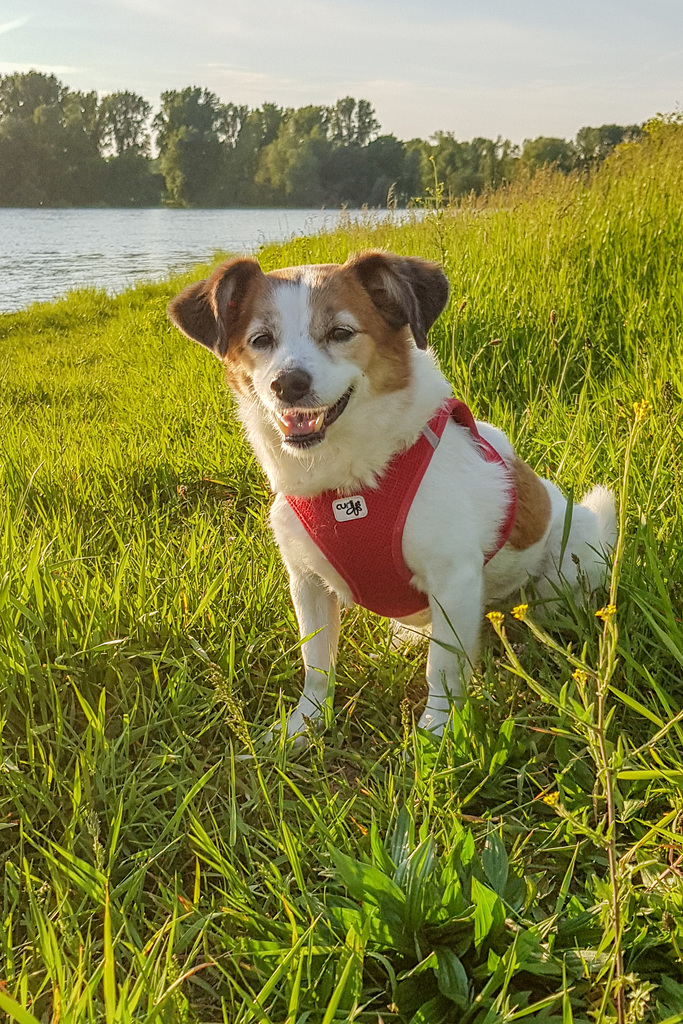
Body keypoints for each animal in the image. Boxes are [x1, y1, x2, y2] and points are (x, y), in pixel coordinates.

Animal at [166, 251, 618, 741]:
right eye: (261, 339)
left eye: (341, 332)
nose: (288, 384)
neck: (348, 484)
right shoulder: (306, 582)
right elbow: (316, 664)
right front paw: (303, 727)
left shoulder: (454, 578)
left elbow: (442, 668)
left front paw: (437, 732)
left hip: (567, 564)